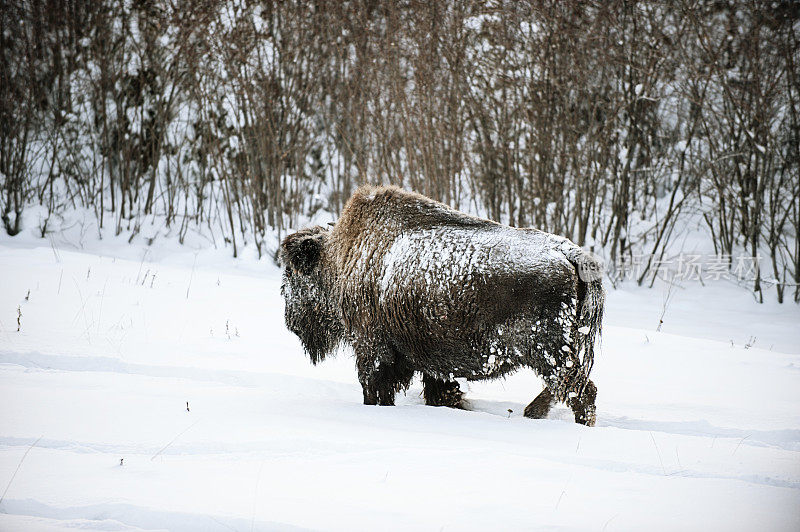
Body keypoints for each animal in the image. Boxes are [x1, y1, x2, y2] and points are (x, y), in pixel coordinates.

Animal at [278, 185, 604, 426]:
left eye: (291, 274)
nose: (291, 321)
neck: (340, 257)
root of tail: (569, 251)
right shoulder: (429, 362)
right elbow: (439, 391)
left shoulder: (371, 348)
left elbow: (373, 388)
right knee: (567, 388)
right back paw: (532, 413)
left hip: (547, 351)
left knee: (580, 390)